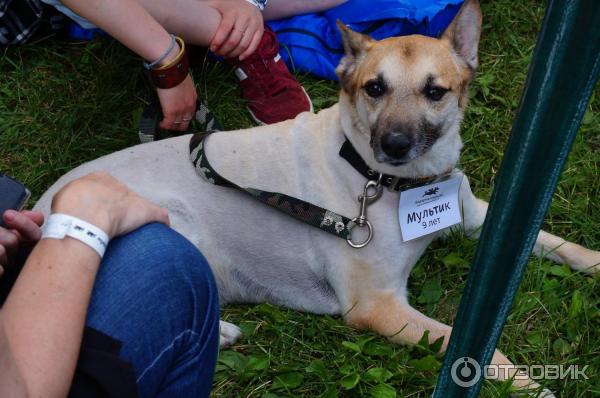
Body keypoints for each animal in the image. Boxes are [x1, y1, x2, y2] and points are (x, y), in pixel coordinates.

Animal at [35, 0, 596, 394]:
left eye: (435, 92)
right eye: (374, 88)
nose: (394, 144)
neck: (391, 184)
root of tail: (37, 208)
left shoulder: (480, 216)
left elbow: (558, 243)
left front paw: (591, 261)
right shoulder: (377, 306)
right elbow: (482, 355)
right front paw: (533, 387)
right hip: (168, 218)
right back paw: (221, 332)